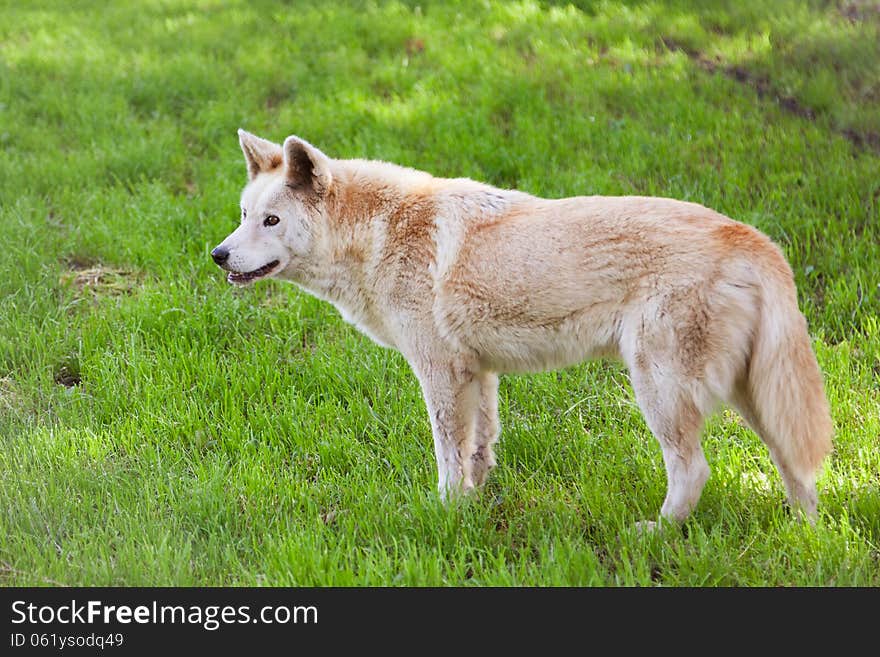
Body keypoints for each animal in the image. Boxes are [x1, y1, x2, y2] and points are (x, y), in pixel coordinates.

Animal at [211, 131, 832, 524]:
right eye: (243, 216)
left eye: (271, 220)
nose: (218, 256)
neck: (379, 235)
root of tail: (752, 239)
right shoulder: (478, 374)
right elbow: (481, 450)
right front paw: (476, 506)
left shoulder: (440, 375)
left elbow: (448, 455)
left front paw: (443, 512)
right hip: (756, 397)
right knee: (798, 469)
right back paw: (802, 536)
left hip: (660, 391)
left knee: (693, 471)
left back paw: (653, 533)